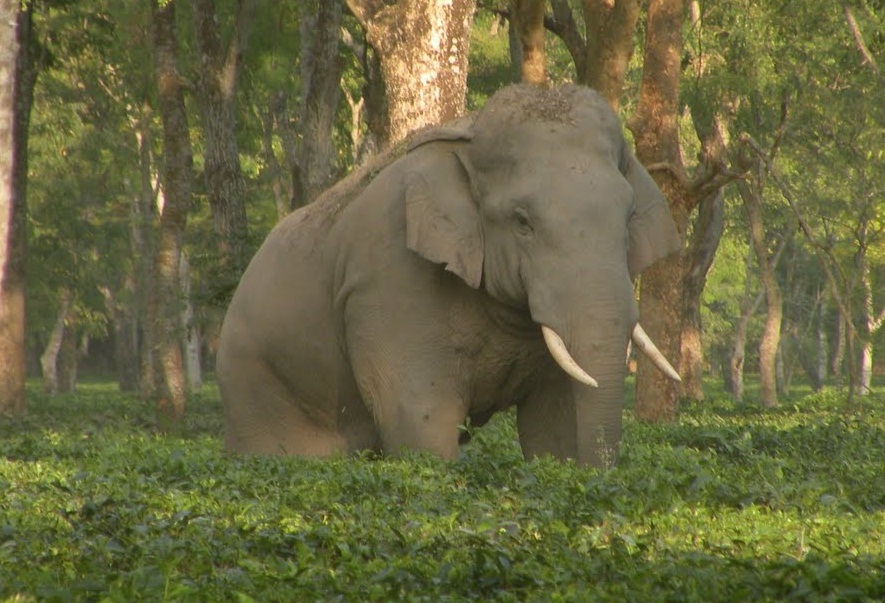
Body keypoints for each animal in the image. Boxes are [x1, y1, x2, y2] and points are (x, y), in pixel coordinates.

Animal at [217, 84, 683, 468]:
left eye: (628, 216)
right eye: (522, 222)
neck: (468, 134)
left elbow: (558, 420)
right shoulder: (389, 277)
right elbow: (417, 410)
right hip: (254, 381)